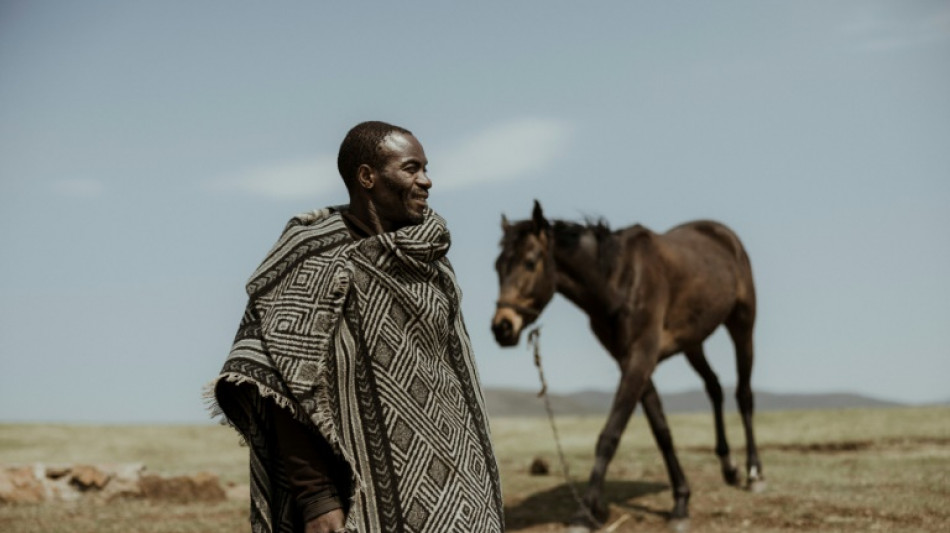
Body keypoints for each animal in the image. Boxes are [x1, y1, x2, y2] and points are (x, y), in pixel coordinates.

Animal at [490, 201, 768, 528]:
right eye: (497, 267)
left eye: (530, 262)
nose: (502, 327)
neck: (617, 281)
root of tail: (723, 234)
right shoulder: (631, 360)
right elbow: (661, 430)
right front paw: (681, 500)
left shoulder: (640, 358)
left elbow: (610, 434)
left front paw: (585, 512)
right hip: (693, 342)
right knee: (714, 387)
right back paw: (729, 467)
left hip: (742, 324)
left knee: (743, 394)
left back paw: (753, 473)